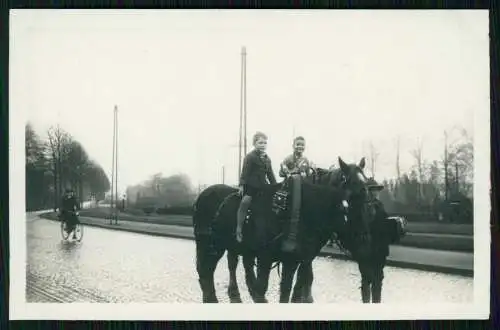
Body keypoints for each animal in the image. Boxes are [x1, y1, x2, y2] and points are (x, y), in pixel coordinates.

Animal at [191, 156, 372, 302]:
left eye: (368, 192)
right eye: (355, 194)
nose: (365, 236)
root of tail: (202, 194)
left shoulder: (296, 259)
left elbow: (289, 289)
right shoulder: (265, 257)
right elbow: (263, 287)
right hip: (209, 245)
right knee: (206, 272)